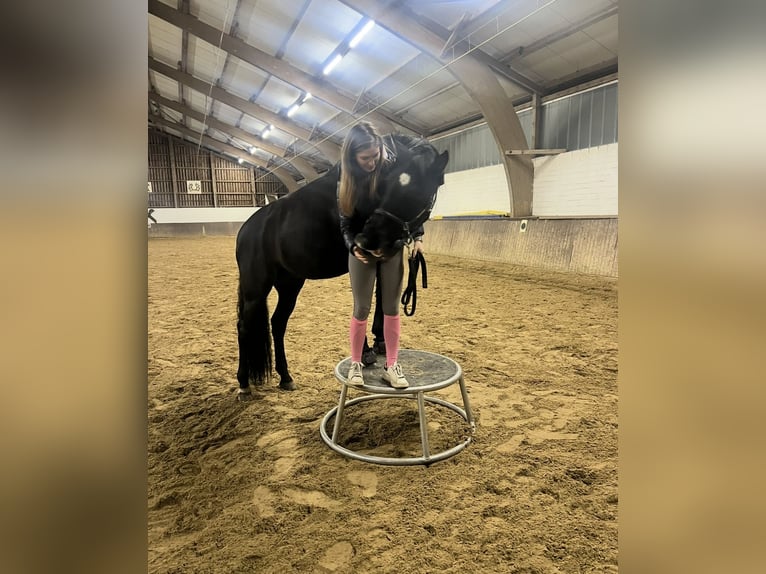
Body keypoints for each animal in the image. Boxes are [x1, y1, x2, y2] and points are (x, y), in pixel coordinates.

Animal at [234, 138, 450, 400]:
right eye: (390, 187)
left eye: (417, 191)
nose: (367, 238)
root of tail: (246, 229)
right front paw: (368, 351)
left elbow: (381, 300)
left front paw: (379, 343)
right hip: (256, 290)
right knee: (244, 327)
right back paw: (244, 384)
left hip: (289, 285)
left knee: (278, 323)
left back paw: (286, 377)